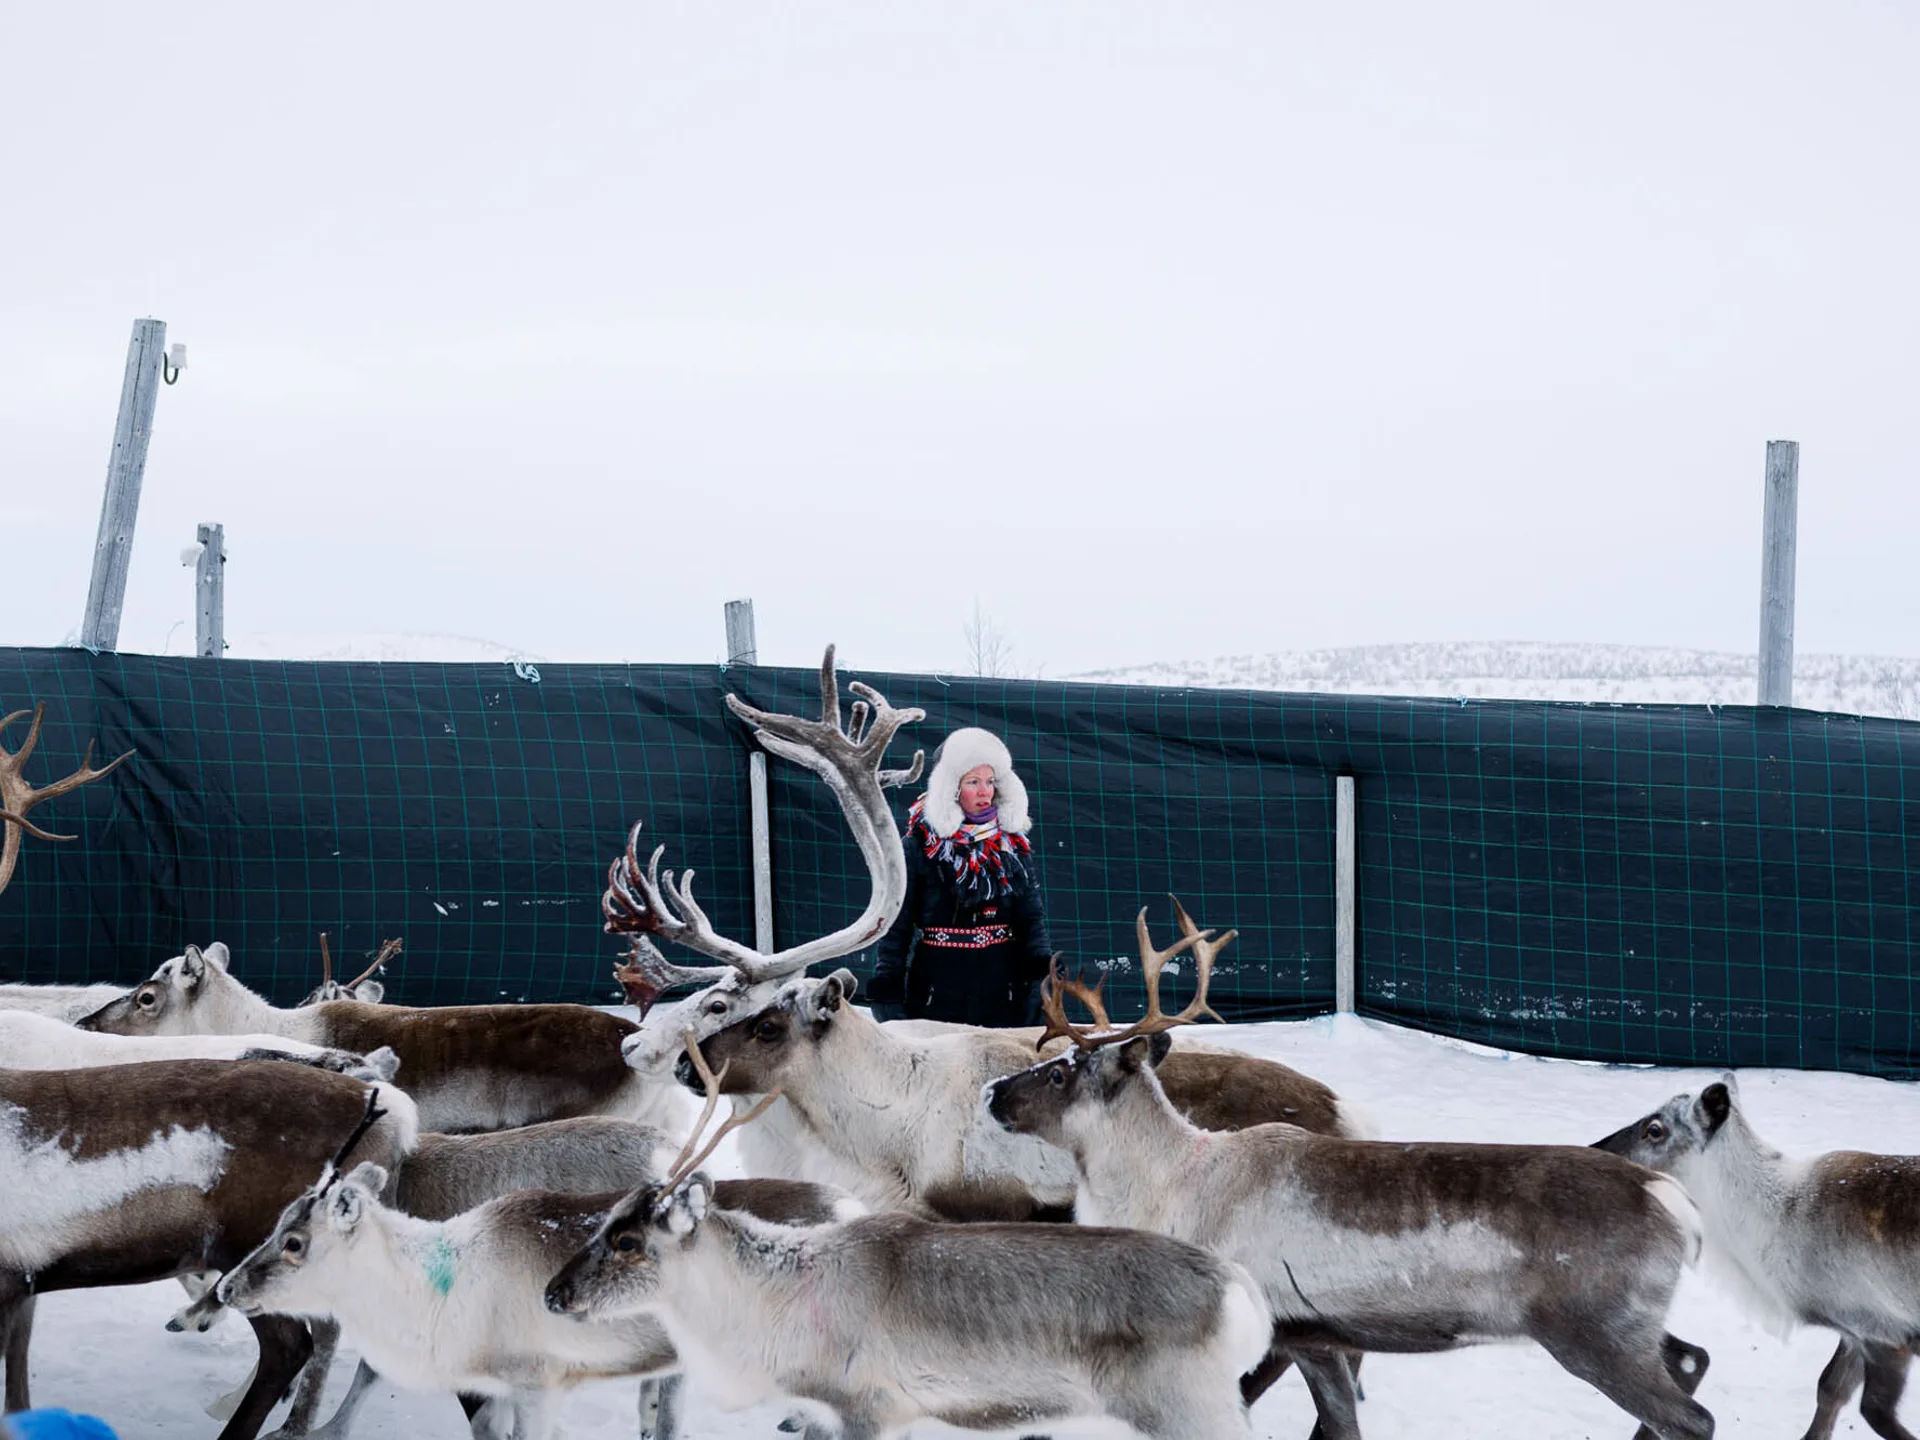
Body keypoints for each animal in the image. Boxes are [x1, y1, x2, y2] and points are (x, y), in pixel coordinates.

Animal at [983, 924, 1718, 1440]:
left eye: (1059, 1072)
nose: (993, 1093)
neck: (1168, 1185)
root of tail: (1676, 1204)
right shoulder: (1320, 1337)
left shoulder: (1281, 1331)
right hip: (1628, 1325)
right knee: (1692, 1360)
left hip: (1592, 1332)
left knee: (1694, 1418)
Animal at [1596, 1079, 1920, 1440]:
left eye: (1654, 1129)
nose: (1597, 1147)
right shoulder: (1855, 1330)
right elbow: (1830, 1389)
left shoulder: (1888, 1333)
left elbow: (1875, 1411)